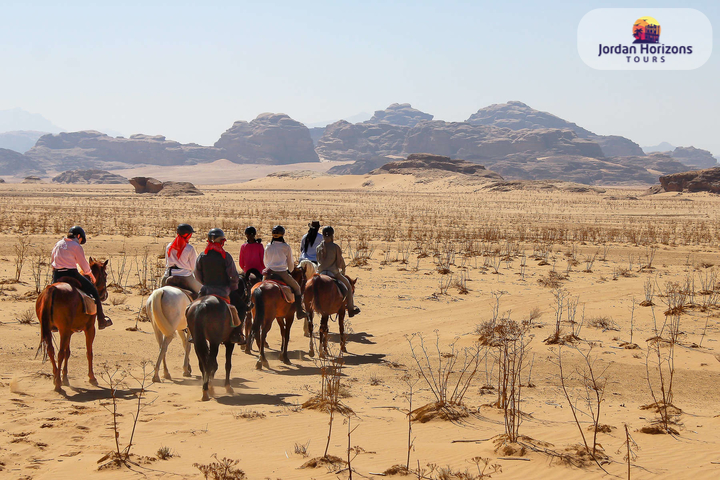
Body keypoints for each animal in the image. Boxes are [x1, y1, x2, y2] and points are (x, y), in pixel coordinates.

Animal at [36, 258, 109, 390]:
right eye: (105, 275)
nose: (105, 295)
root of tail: (51, 290)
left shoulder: (69, 331)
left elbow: (68, 353)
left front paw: (65, 378)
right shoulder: (89, 328)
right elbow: (89, 352)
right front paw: (92, 378)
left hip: (49, 329)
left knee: (51, 350)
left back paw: (56, 378)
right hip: (64, 330)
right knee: (59, 353)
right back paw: (58, 384)